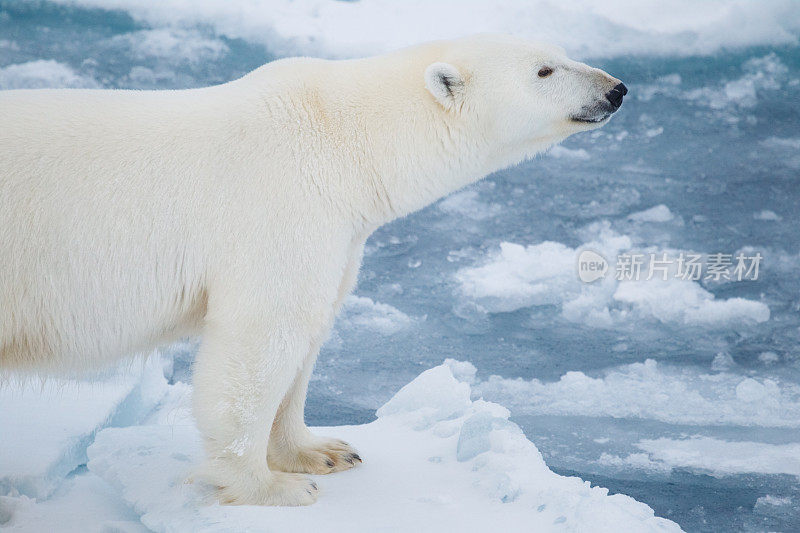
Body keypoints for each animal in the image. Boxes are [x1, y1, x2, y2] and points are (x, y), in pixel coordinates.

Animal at [0, 33, 624, 502]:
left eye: (560, 51)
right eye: (544, 70)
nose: (616, 89)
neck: (342, 137)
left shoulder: (339, 234)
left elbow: (308, 331)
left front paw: (323, 451)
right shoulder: (280, 206)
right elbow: (263, 338)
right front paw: (270, 487)